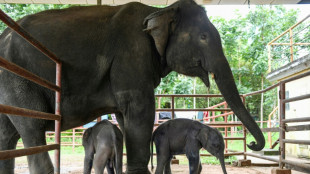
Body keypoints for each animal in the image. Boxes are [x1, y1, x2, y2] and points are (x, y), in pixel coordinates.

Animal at [0, 0, 264, 173]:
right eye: (204, 37)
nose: (252, 144)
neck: (159, 11)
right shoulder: (131, 55)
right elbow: (139, 109)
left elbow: (125, 117)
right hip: (17, 79)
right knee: (32, 128)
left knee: (7, 137)